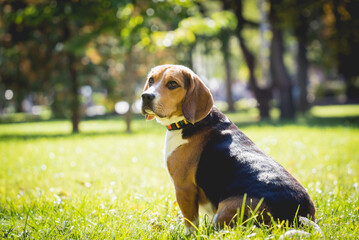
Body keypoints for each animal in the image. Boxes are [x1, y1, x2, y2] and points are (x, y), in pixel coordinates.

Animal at [141, 64, 316, 234]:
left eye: (172, 84)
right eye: (151, 80)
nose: (146, 96)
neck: (187, 123)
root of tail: (298, 216)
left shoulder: (184, 188)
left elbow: (191, 223)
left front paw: (188, 235)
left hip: (225, 209)